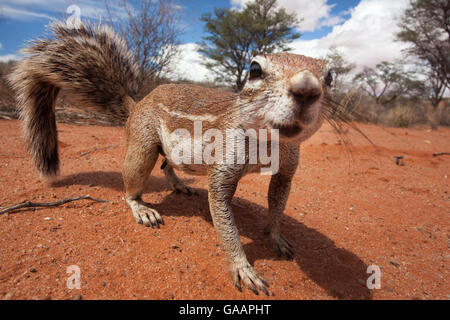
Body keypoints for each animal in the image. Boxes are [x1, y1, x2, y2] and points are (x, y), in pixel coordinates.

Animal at [8, 20, 334, 296]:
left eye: (330, 76)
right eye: (254, 69)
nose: (307, 89)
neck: (269, 144)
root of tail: (136, 104)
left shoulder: (287, 171)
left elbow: (278, 204)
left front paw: (277, 238)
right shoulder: (224, 167)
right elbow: (226, 223)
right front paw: (243, 268)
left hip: (173, 154)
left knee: (167, 164)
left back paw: (180, 185)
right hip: (142, 150)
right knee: (132, 186)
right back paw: (142, 209)